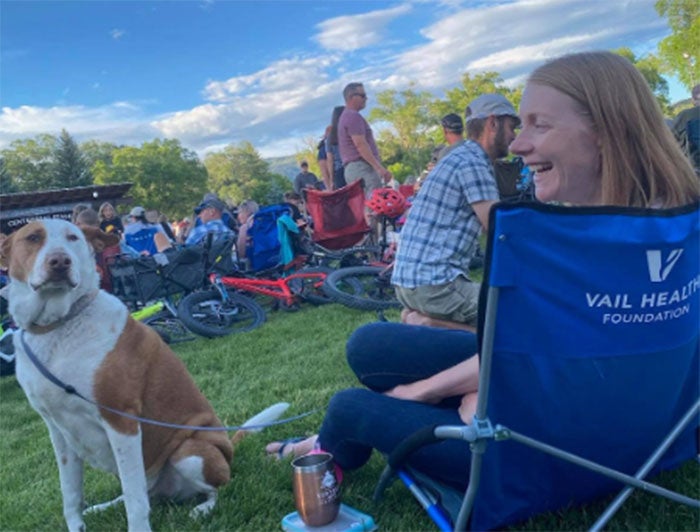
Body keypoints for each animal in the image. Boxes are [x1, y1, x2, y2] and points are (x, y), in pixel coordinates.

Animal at [2, 218, 282, 528]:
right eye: (33, 237)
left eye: (72, 237)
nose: (59, 261)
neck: (58, 328)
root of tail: (228, 447)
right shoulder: (58, 432)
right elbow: (71, 494)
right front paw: (78, 525)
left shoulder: (121, 420)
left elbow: (135, 501)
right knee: (136, 492)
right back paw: (106, 506)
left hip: (190, 452)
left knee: (215, 488)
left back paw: (203, 508)